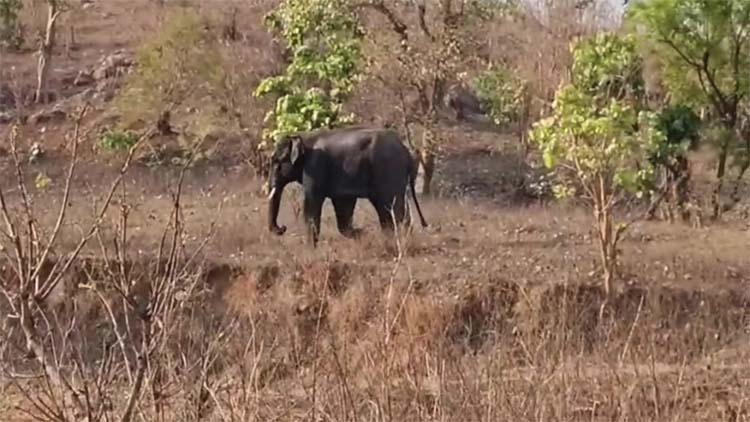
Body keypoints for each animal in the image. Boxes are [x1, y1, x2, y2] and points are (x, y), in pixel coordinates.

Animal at [266, 126, 428, 247]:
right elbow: (343, 208)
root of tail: (407, 152)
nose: (283, 228)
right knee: (387, 210)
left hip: (389, 169)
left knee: (394, 209)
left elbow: (312, 204)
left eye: (277, 162)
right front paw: (362, 233)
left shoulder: (315, 166)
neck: (302, 136)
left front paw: (310, 250)